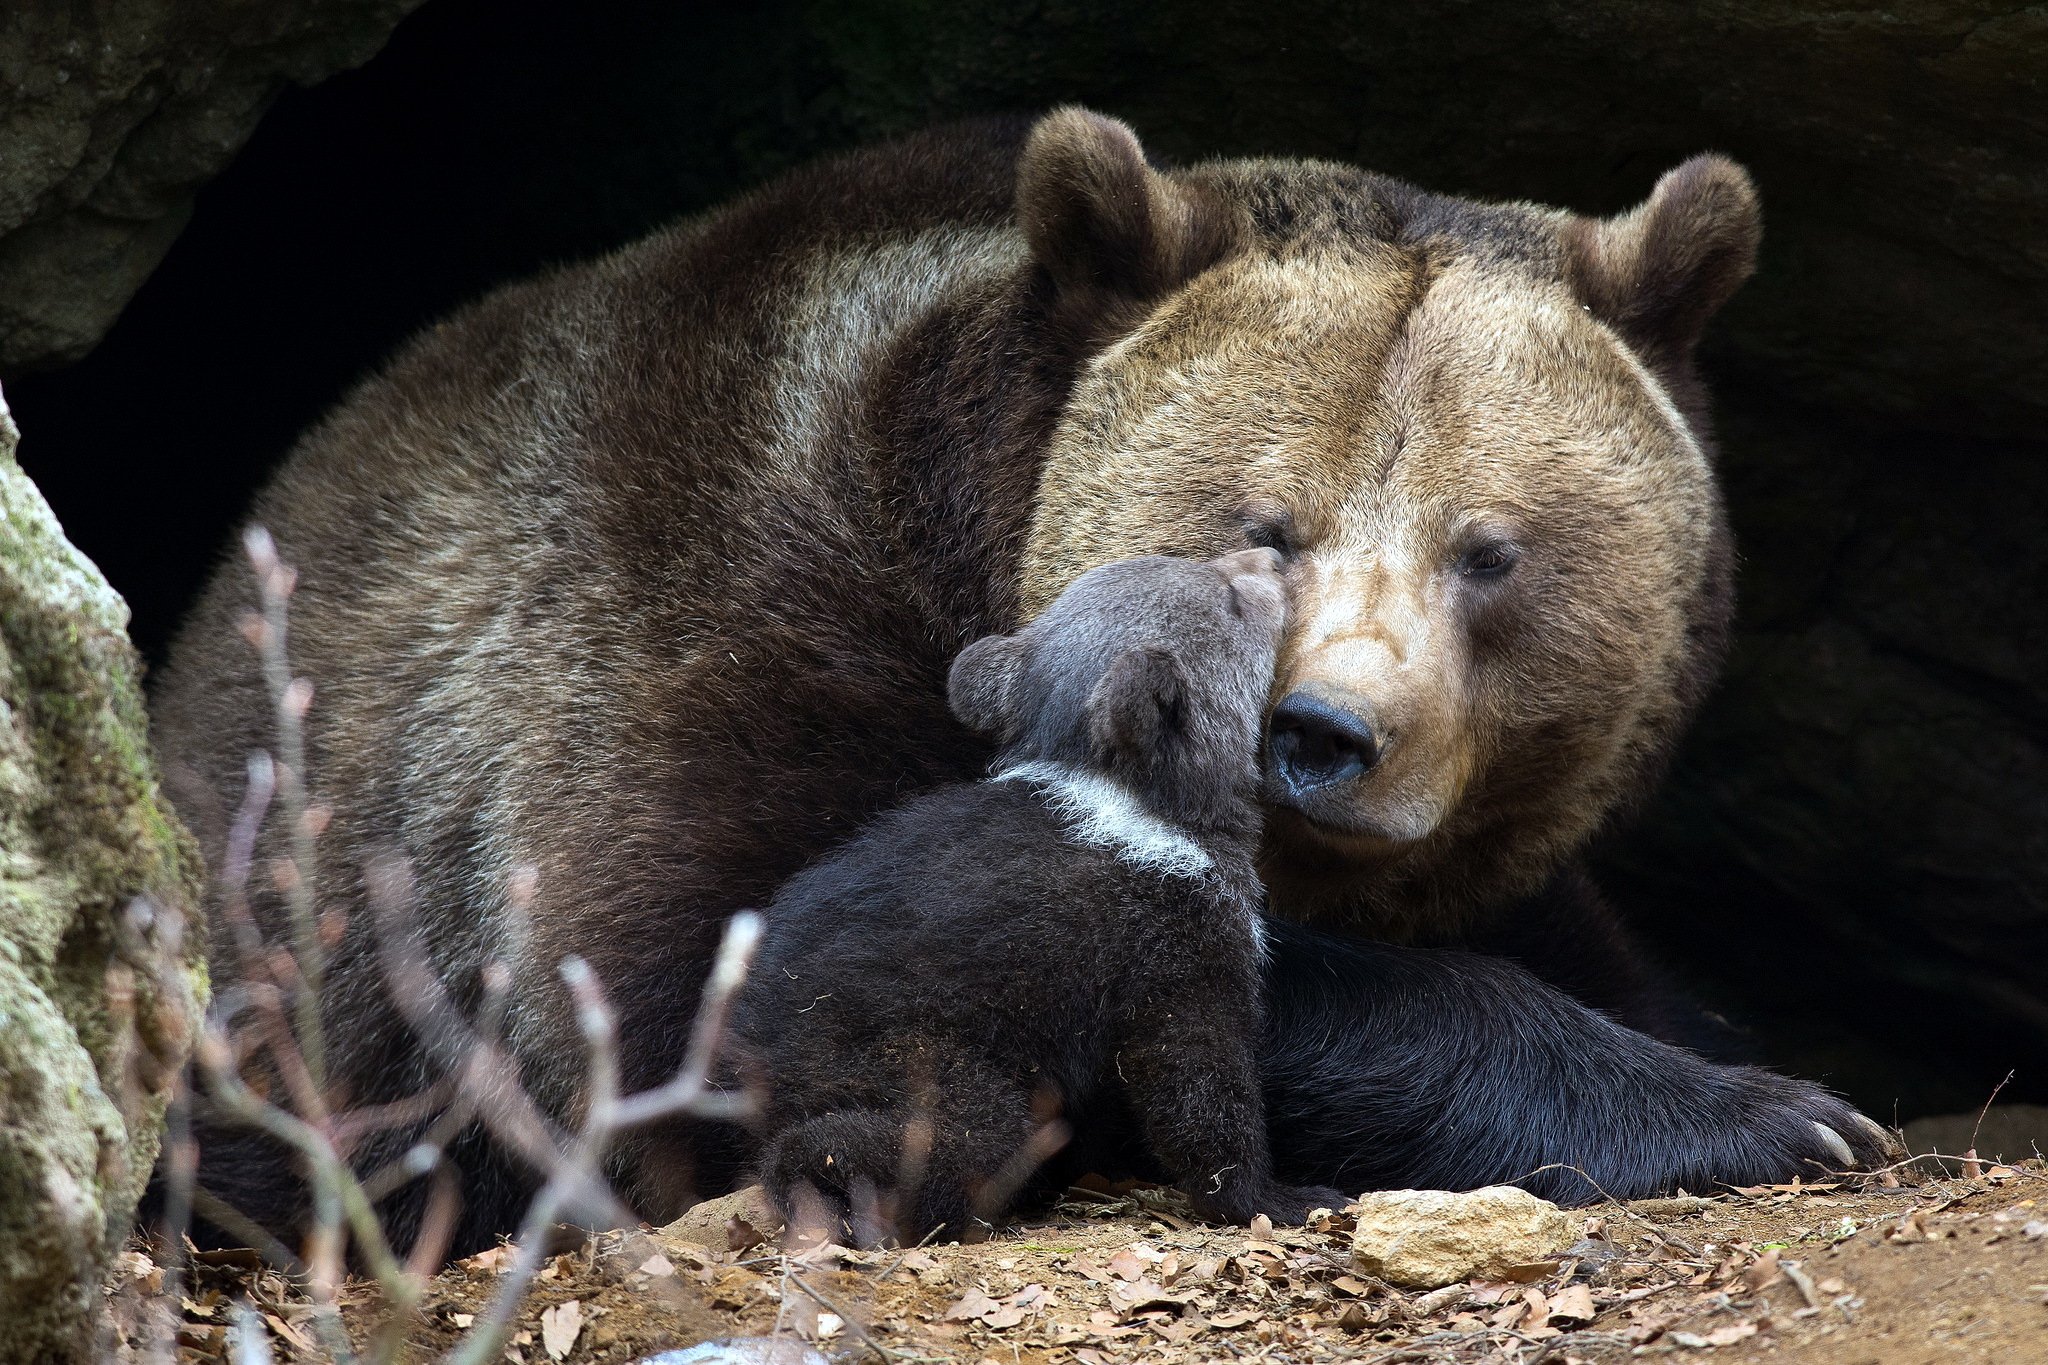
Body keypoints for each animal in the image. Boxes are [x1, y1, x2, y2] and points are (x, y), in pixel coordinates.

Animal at [151, 109, 1892, 1260]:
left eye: (1491, 552)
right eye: (1267, 524)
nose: (1323, 735)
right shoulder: (733, 641)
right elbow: (737, 988)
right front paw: (1769, 1107)